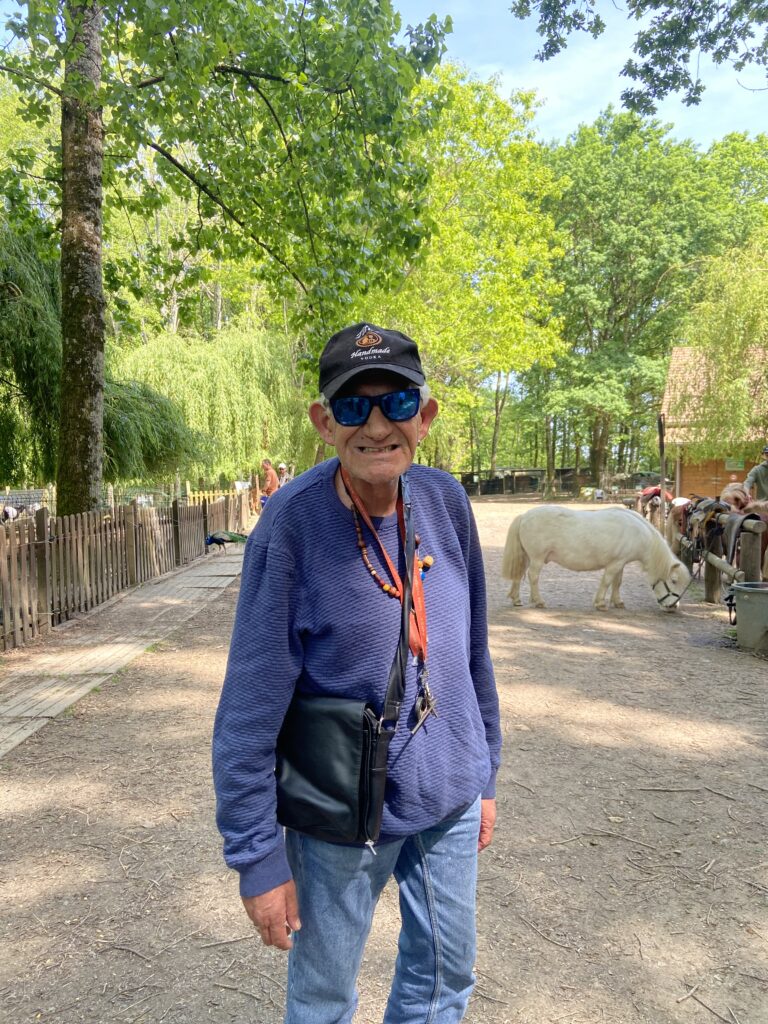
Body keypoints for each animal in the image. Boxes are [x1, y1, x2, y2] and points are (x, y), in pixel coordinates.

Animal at [501, 505, 690, 611]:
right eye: (673, 581)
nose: (673, 607)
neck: (637, 533)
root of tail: (525, 516)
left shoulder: (621, 563)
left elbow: (617, 583)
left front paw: (618, 602)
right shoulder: (615, 564)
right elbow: (607, 582)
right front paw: (600, 603)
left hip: (528, 557)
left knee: (519, 575)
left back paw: (517, 600)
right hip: (537, 558)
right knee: (533, 576)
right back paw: (539, 601)